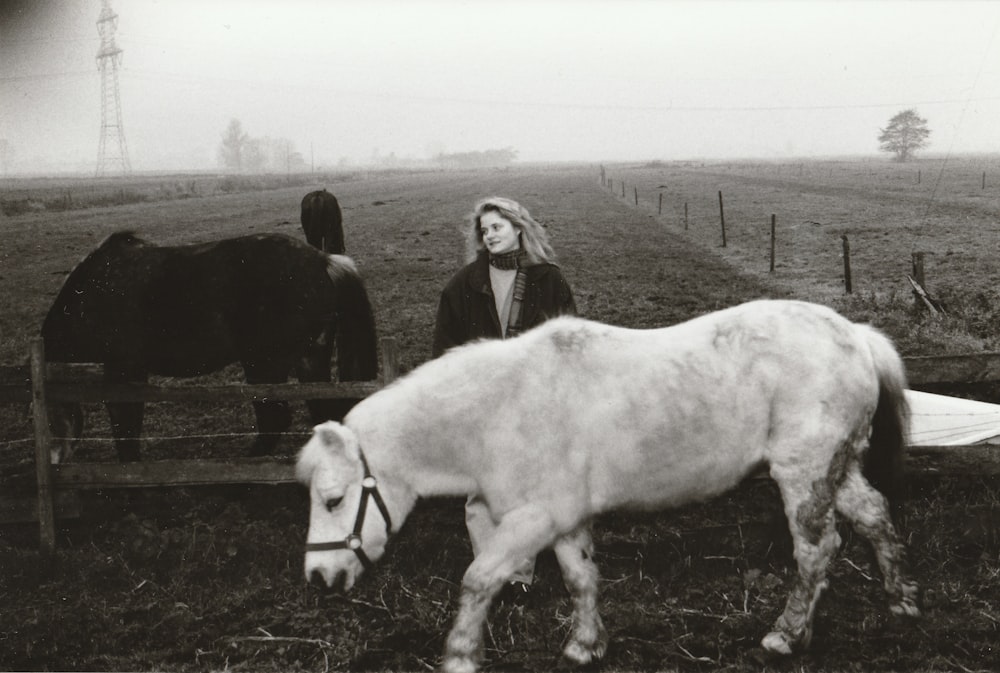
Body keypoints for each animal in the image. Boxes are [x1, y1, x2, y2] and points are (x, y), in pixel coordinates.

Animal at [42, 232, 378, 462]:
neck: (93, 291)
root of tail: (323, 261)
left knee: (275, 418)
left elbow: (124, 424)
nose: (55, 459)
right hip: (309, 359)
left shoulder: (121, 370)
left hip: (263, 364)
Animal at [296, 300, 920, 672]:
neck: (501, 407)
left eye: (333, 500)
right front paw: (585, 644)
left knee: (816, 551)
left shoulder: (533, 518)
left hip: (803, 474)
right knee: (875, 516)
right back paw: (901, 600)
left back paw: (786, 635)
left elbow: (478, 580)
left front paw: (460, 655)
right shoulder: (567, 520)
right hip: (838, 468)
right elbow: (581, 579)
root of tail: (856, 336)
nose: (319, 578)